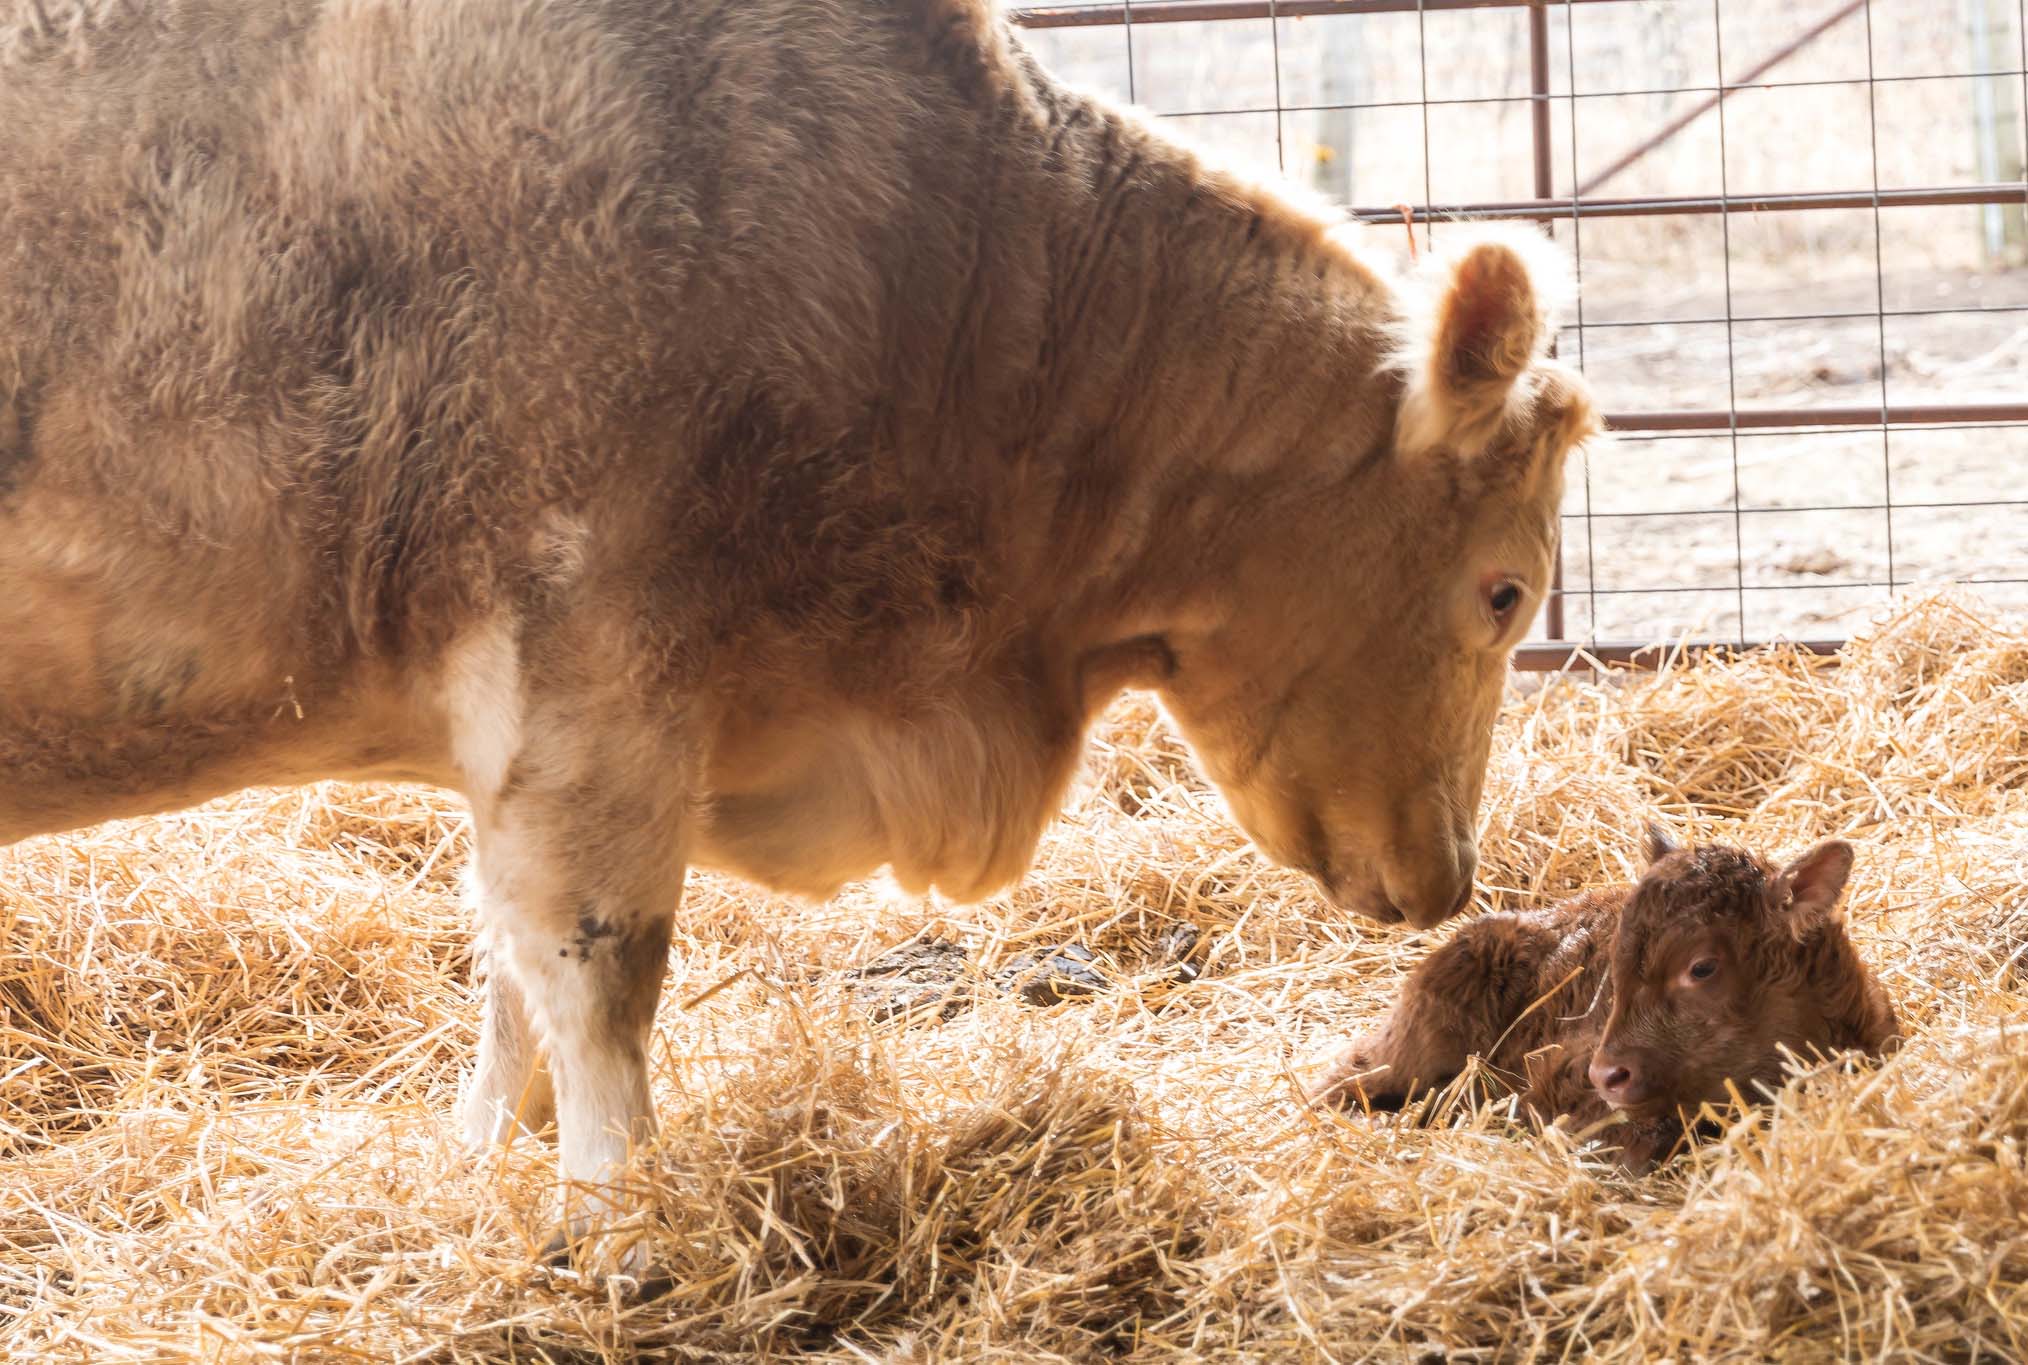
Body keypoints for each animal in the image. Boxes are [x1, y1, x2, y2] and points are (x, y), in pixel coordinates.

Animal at [3, 0, 1598, 1249]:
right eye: (1506, 590)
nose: (1450, 876)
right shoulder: (585, 663)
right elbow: (594, 968)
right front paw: (619, 1219)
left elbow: (507, 980)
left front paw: (483, 1170)